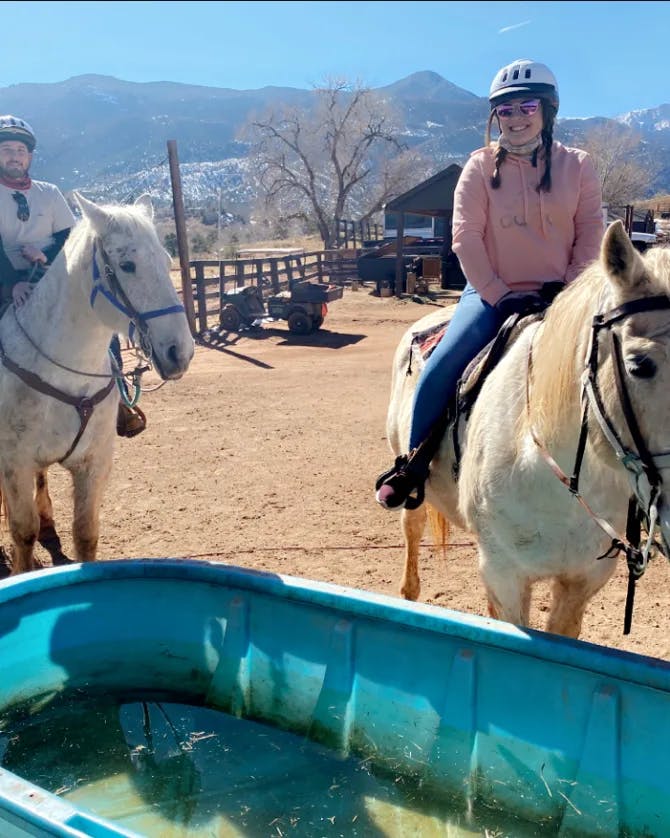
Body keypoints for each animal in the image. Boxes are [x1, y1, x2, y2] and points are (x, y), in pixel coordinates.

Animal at [0, 195, 194, 576]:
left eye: (166, 261)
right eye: (127, 264)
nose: (180, 352)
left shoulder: (95, 460)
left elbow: (86, 533)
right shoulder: (14, 462)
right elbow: (23, 533)